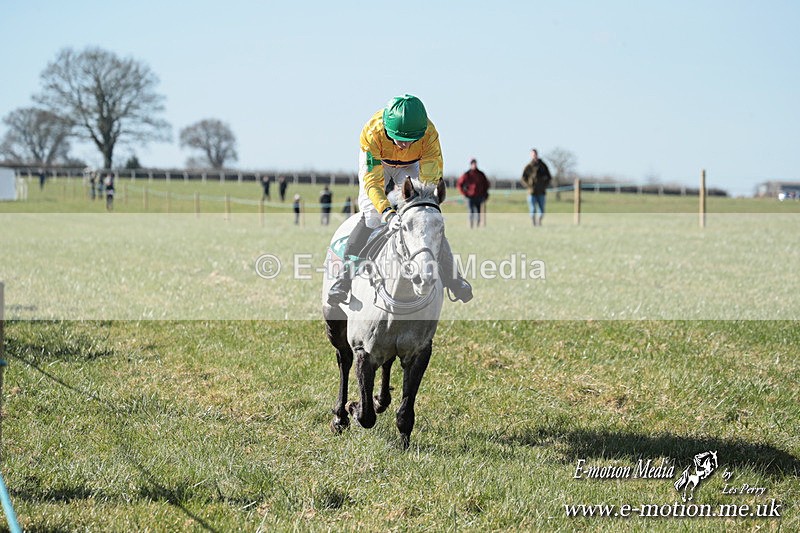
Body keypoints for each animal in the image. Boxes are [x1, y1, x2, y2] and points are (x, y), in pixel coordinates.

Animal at [322, 176, 446, 449]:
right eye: (406, 227)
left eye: (441, 228)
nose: (424, 277)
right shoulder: (363, 349)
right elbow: (366, 414)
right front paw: (354, 407)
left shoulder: (420, 351)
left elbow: (406, 404)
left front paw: (404, 440)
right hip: (334, 323)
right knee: (343, 360)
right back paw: (340, 416)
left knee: (387, 362)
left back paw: (381, 399)